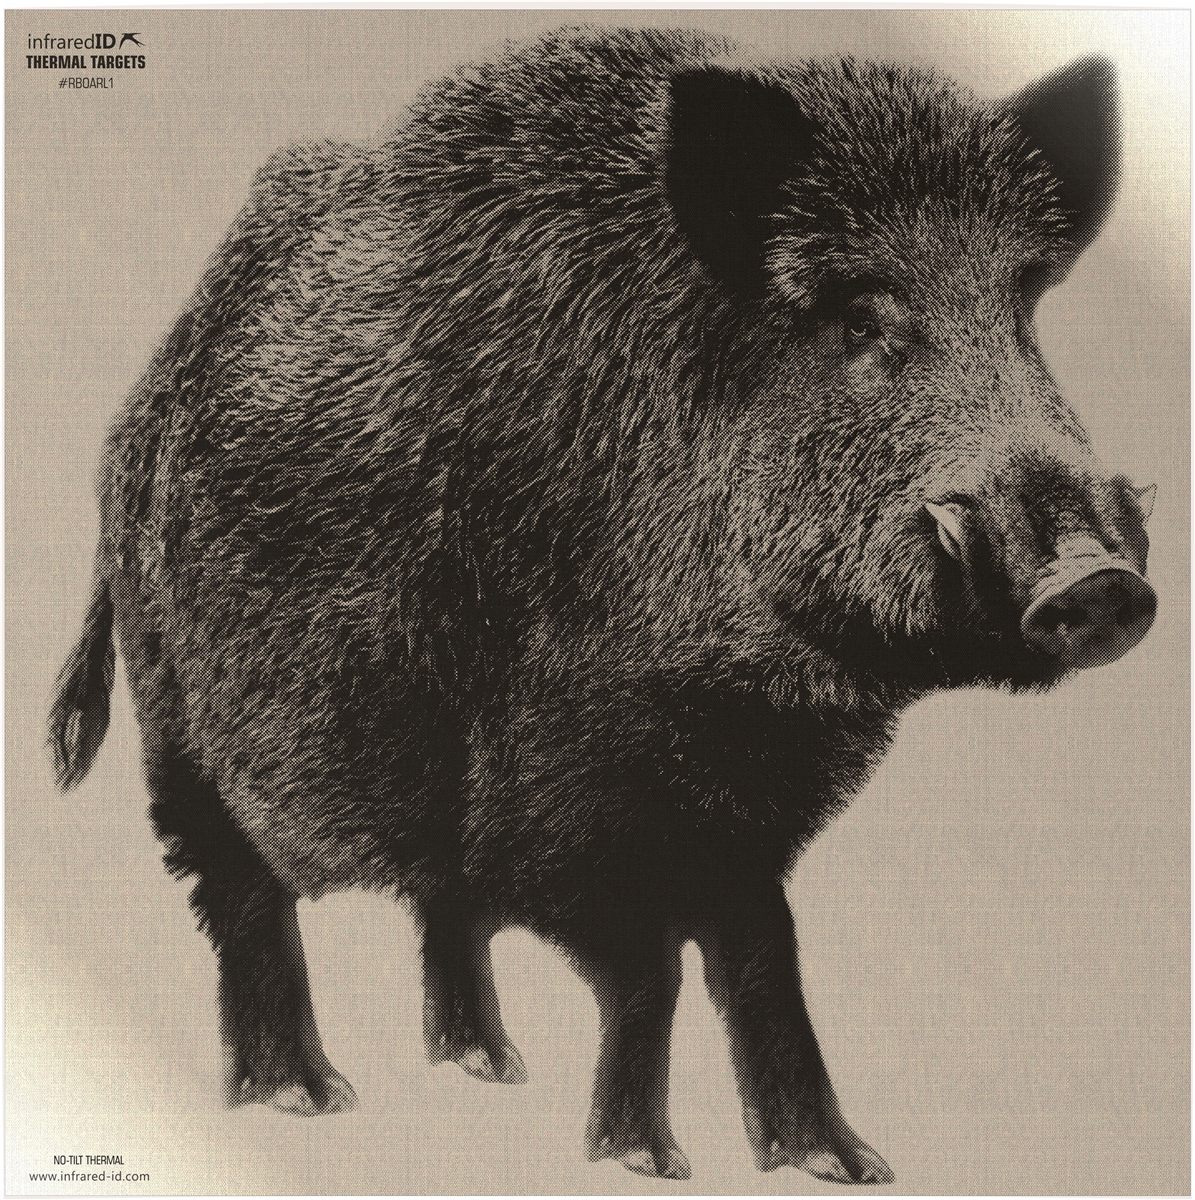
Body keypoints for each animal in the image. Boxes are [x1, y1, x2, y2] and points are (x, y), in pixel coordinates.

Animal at [48, 27, 1156, 1184]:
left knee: (438, 907)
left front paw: (841, 1167)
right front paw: (644, 1162)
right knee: (239, 895)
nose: (1095, 580)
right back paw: (305, 1098)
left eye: (1022, 309)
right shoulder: (570, 788)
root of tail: (136, 415)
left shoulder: (746, 804)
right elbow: (649, 969)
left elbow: (761, 953)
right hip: (177, 712)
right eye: (859, 317)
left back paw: (489, 1067)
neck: (741, 689)